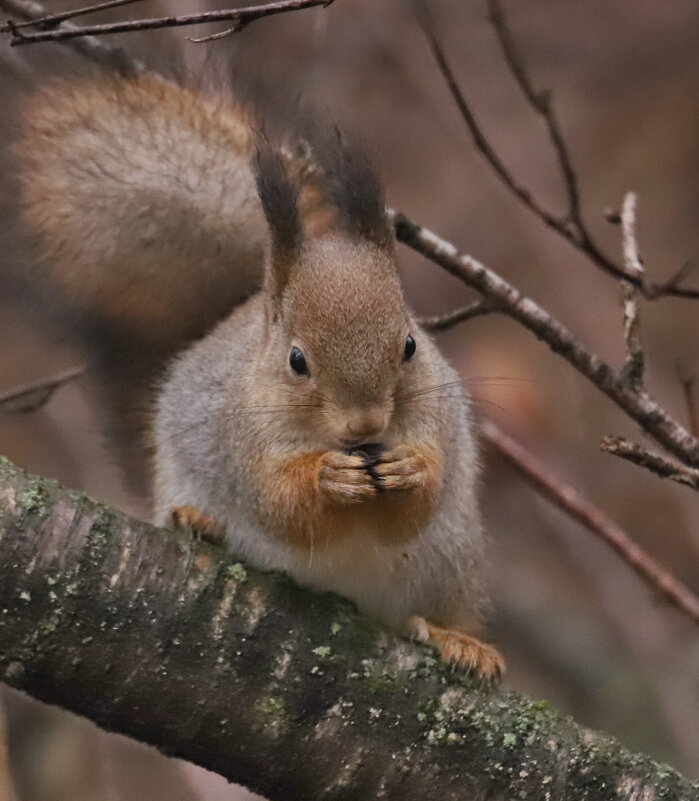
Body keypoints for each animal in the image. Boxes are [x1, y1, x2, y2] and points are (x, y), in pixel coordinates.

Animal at [8, 67, 506, 680]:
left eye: (410, 345)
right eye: (296, 361)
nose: (366, 427)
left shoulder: (438, 421)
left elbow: (413, 511)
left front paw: (411, 471)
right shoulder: (239, 436)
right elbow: (280, 507)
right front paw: (326, 479)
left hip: (451, 558)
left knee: (434, 606)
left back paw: (455, 639)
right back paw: (199, 523)